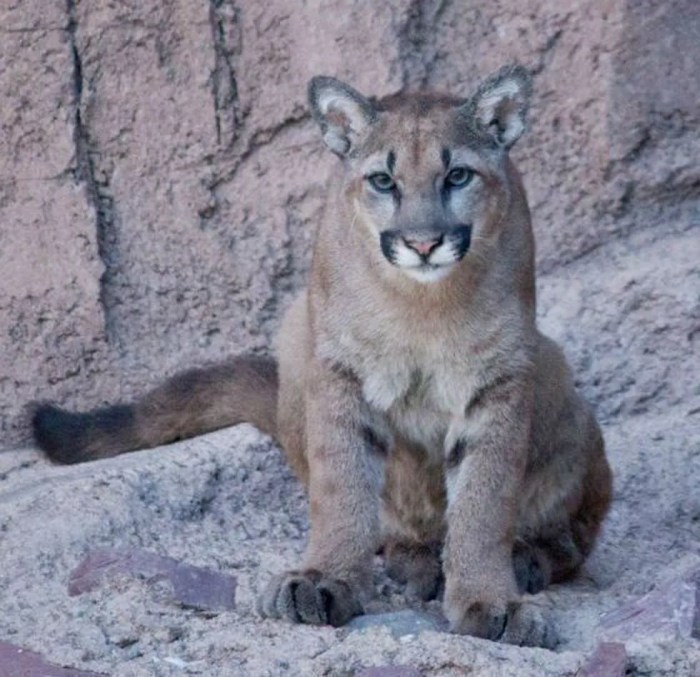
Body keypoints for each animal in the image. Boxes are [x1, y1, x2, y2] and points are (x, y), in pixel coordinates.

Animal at [34, 66, 612, 648]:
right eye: (383, 181)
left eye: (457, 177)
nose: (423, 243)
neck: (421, 305)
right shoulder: (339, 369)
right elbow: (341, 487)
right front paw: (323, 579)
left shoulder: (501, 376)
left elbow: (485, 505)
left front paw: (491, 600)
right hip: (295, 333)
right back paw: (415, 557)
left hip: (555, 371)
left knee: (576, 535)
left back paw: (524, 558)